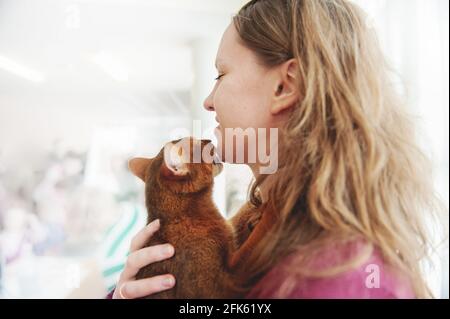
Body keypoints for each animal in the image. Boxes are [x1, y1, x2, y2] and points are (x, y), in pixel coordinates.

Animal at [127, 138, 274, 300]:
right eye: (197, 145)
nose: (208, 140)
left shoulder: (228, 231)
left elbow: (238, 220)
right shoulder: (221, 287)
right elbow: (250, 247)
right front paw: (273, 207)